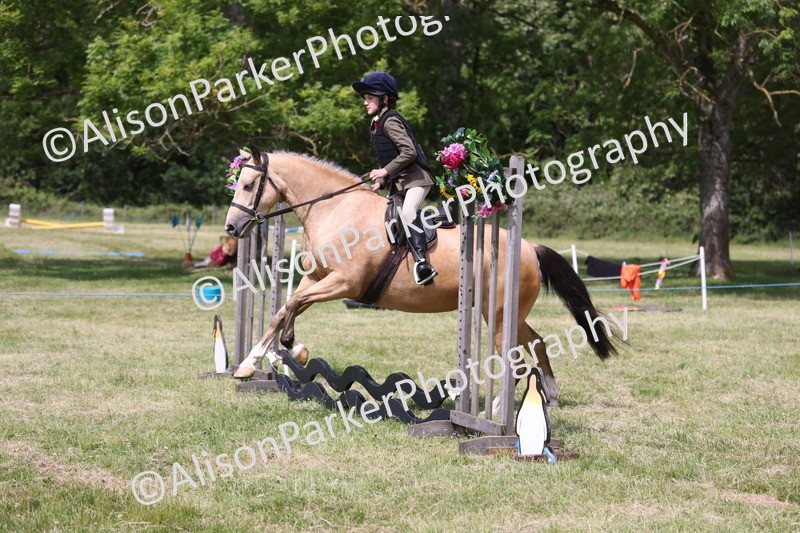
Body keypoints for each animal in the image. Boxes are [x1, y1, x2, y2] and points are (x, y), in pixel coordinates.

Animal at [224, 146, 617, 405]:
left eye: (249, 185)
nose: (231, 227)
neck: (335, 208)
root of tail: (531, 248)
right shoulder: (317, 277)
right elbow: (285, 308)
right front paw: (268, 357)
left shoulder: (344, 283)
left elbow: (293, 304)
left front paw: (282, 354)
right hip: (508, 314)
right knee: (536, 343)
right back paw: (550, 395)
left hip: (498, 315)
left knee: (516, 362)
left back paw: (497, 411)